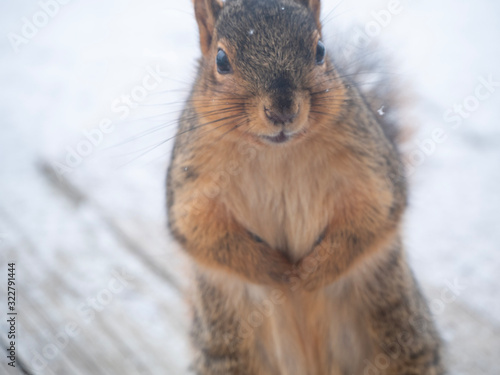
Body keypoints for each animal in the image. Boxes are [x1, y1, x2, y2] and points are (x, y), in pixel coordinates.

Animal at [166, 0, 444, 375]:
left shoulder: (372, 169)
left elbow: (371, 217)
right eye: (221, 60)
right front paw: (280, 274)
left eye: (320, 51)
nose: (282, 109)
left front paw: (307, 277)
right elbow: (203, 232)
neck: (276, 152)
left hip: (399, 330)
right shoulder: (192, 184)